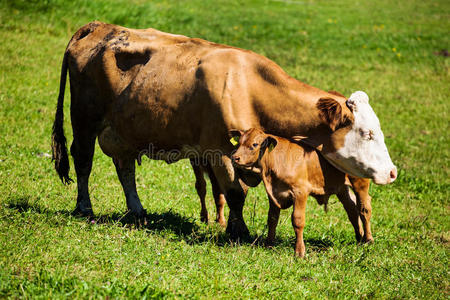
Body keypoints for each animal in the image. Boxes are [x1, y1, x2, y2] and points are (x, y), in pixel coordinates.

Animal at [52, 21, 396, 239]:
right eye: (367, 133)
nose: (392, 173)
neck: (248, 86)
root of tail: (100, 27)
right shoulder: (219, 150)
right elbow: (234, 192)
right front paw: (237, 230)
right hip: (84, 119)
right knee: (83, 160)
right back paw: (84, 207)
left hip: (124, 130)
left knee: (125, 168)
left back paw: (137, 210)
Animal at [230, 127, 364, 256]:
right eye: (239, 142)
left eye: (254, 144)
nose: (235, 158)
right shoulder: (272, 194)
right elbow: (272, 219)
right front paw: (269, 244)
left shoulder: (300, 192)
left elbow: (297, 220)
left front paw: (299, 251)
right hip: (342, 188)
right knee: (352, 209)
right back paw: (359, 238)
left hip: (359, 182)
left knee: (364, 207)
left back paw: (366, 241)